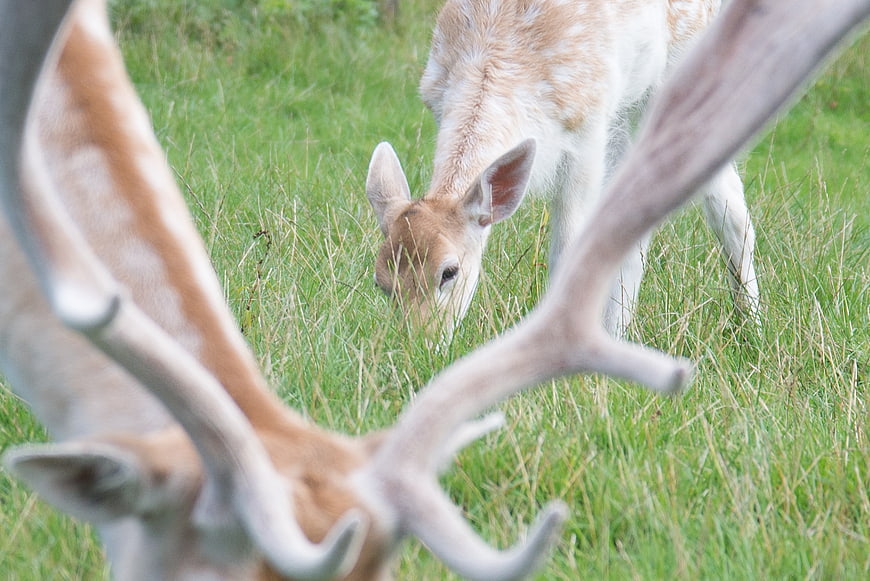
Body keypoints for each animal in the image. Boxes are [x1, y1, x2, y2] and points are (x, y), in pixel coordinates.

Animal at [366, 0, 762, 341]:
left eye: (449, 271)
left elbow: (569, 246)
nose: (419, 342)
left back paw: (752, 327)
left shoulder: (586, 128)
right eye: (381, 281)